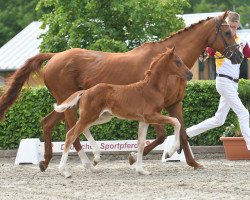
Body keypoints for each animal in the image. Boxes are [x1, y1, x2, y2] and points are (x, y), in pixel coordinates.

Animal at [0, 10, 242, 171]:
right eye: (227, 33)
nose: (239, 57)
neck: (167, 66)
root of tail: (54, 56)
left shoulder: (174, 104)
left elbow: (181, 131)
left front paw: (192, 162)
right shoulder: (152, 109)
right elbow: (162, 135)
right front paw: (135, 158)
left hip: (66, 103)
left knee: (49, 123)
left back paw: (45, 161)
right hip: (71, 103)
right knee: (72, 130)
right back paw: (88, 161)